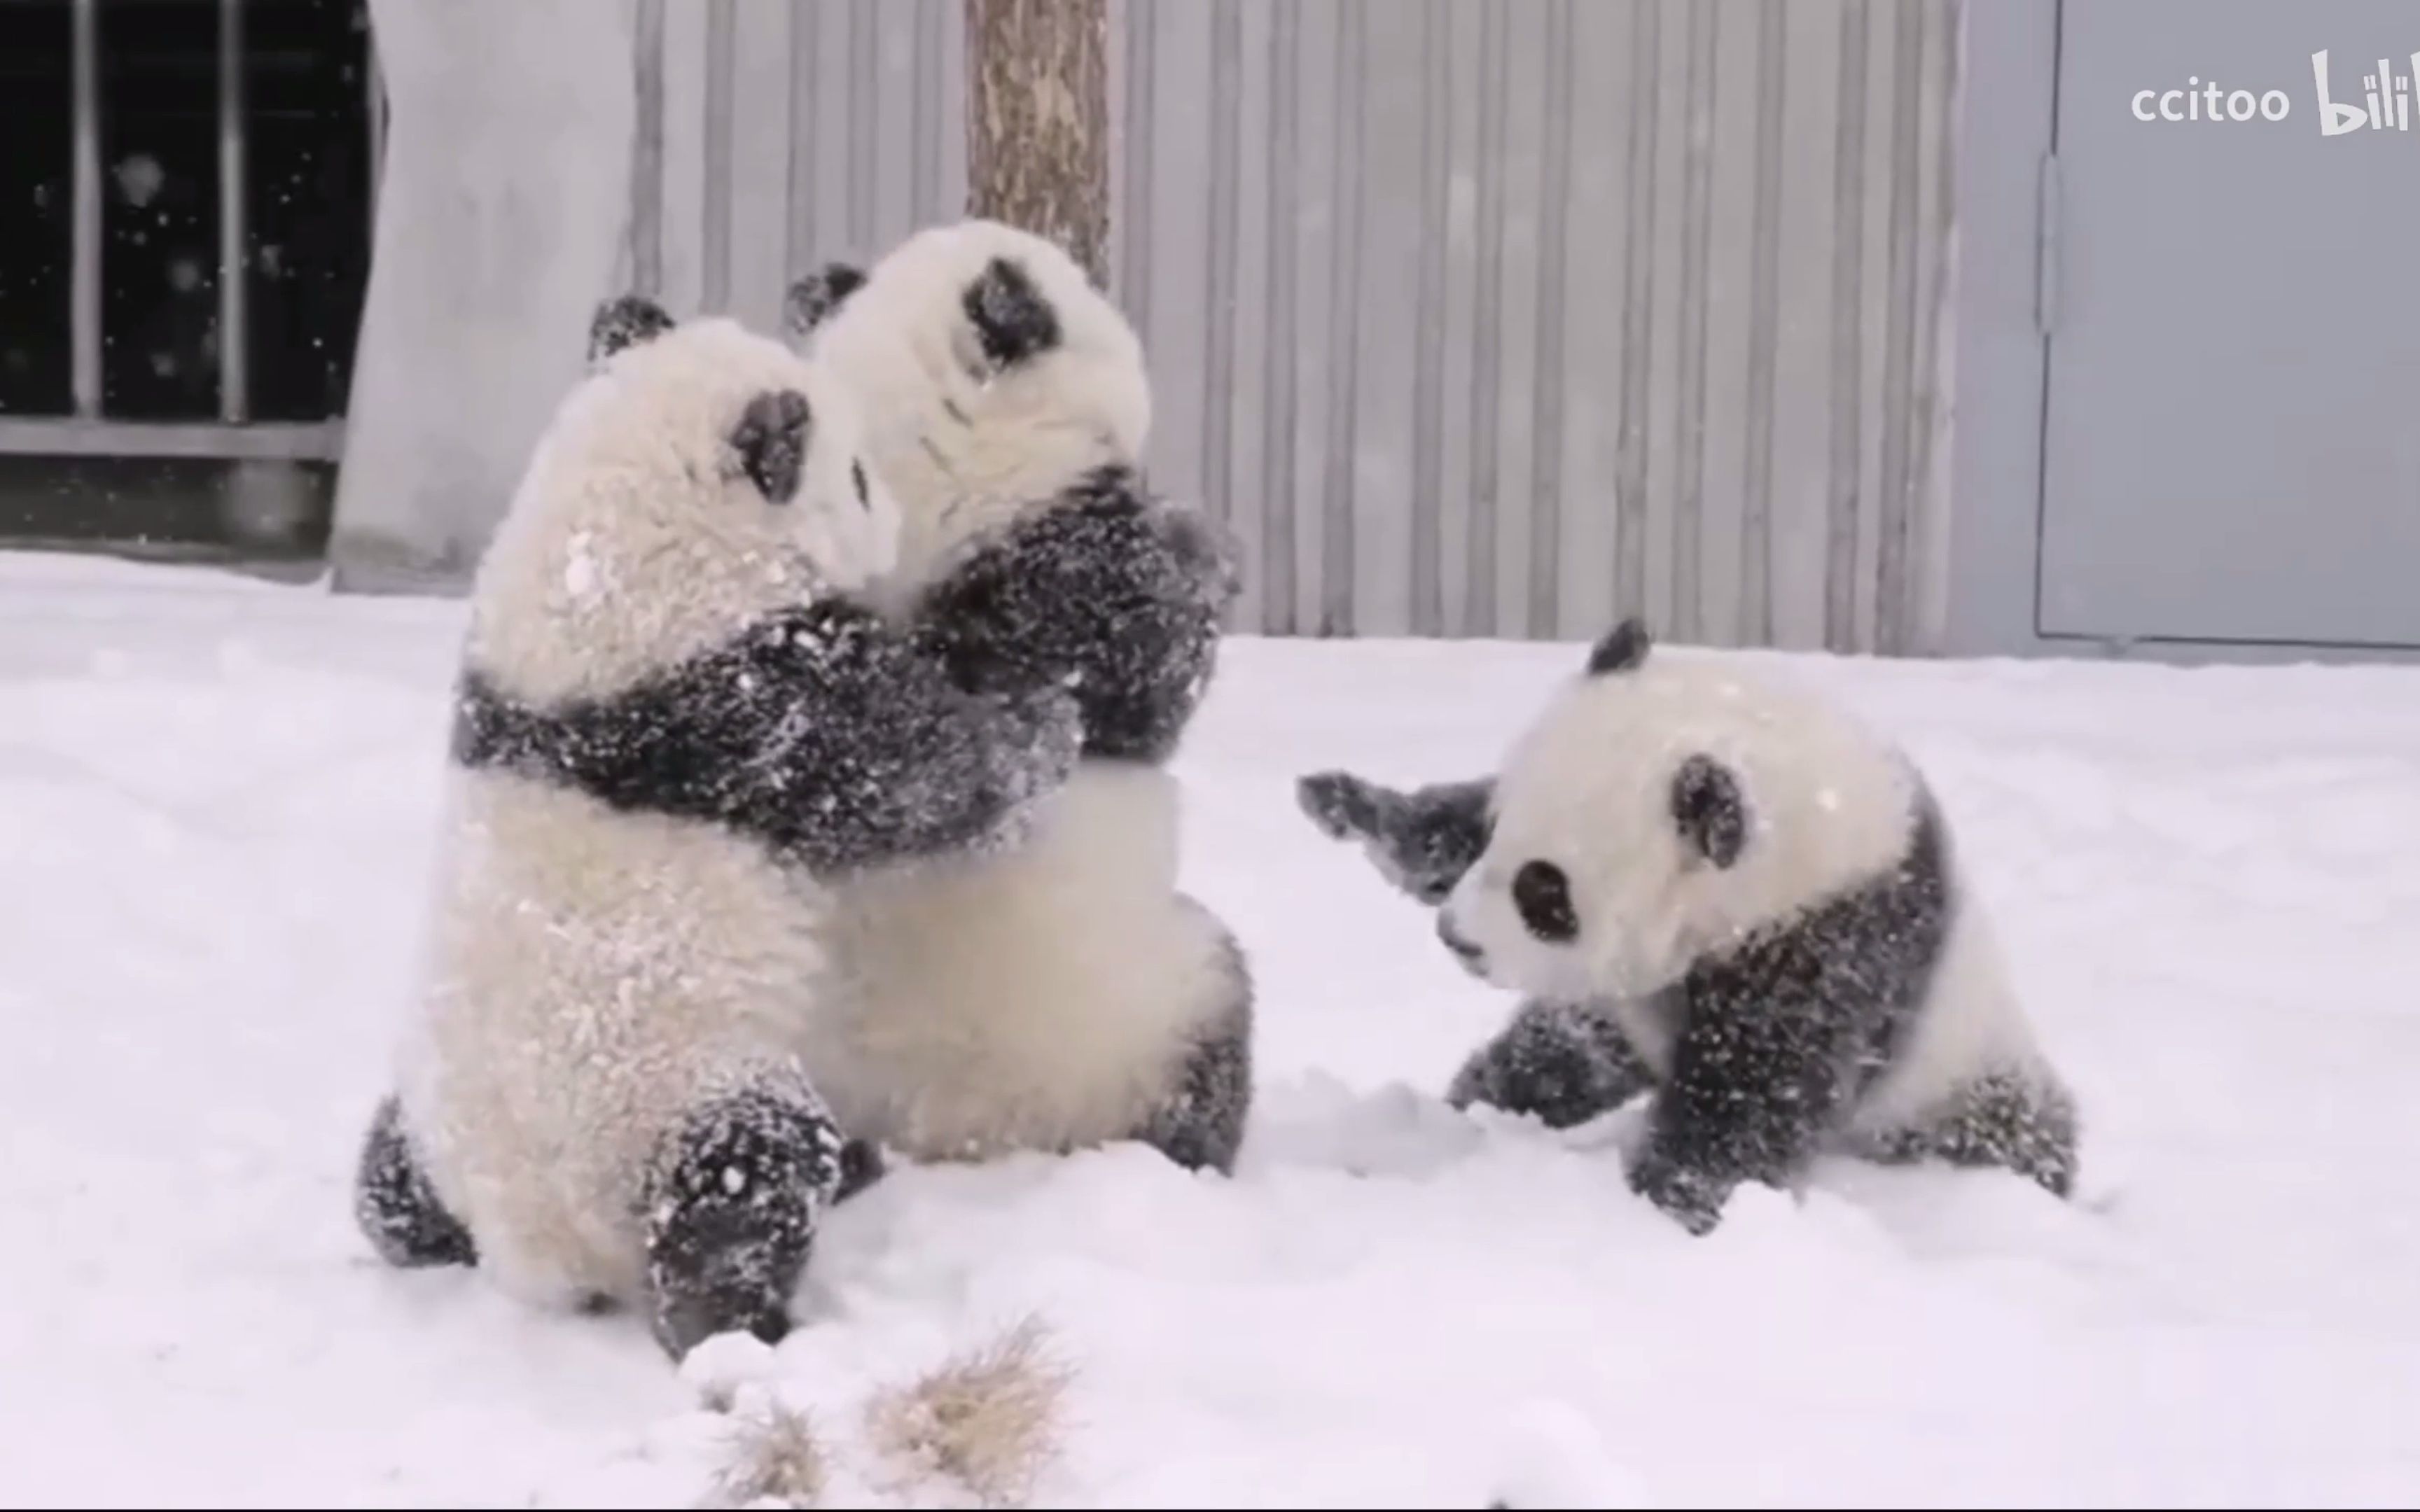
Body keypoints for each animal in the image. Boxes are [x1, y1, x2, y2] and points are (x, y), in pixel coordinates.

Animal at [351, 295, 1089, 1354]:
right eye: (854, 478)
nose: (892, 534)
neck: (603, 549)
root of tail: (538, 1253)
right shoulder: (745, 699)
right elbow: (913, 774)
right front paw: (1046, 721)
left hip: (432, 1113)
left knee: (385, 1188)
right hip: (680, 1095)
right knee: (744, 1182)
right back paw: (759, 1309)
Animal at [779, 218, 1258, 1175]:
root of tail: (964, 1139)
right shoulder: (1065, 576)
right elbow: (1158, 680)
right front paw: (1199, 546)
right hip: (1149, 1005)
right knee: (1218, 1016)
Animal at [1307, 619, 2081, 1233]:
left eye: (1545, 892)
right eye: (1494, 834)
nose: (1456, 937)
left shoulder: (1836, 939)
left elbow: (1752, 1097)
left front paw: (1667, 1202)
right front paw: (1348, 804)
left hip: (1957, 1083)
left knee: (2018, 1136)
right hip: (1609, 1020)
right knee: (1552, 1059)